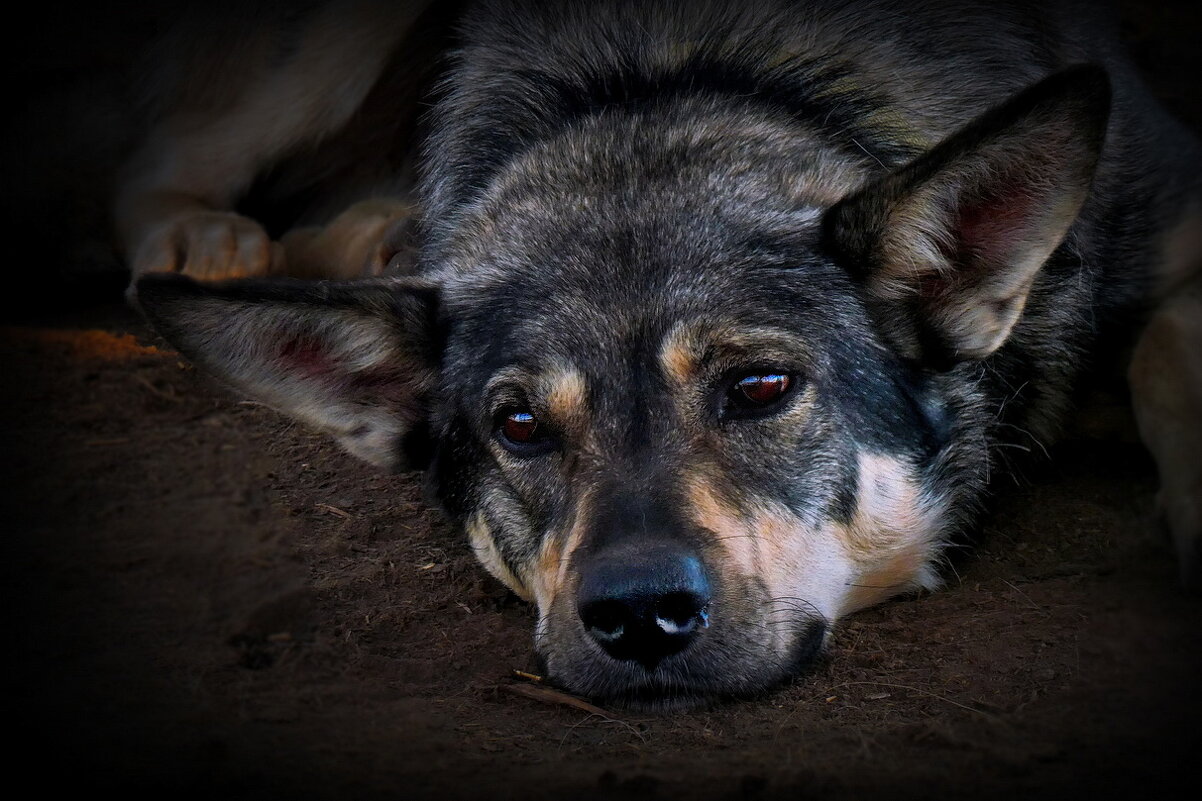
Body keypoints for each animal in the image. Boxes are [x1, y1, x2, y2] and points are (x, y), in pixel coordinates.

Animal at [124, 0, 1202, 707]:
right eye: (519, 425)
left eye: (760, 387)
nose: (638, 615)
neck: (668, 83)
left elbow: (1168, 349)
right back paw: (203, 239)